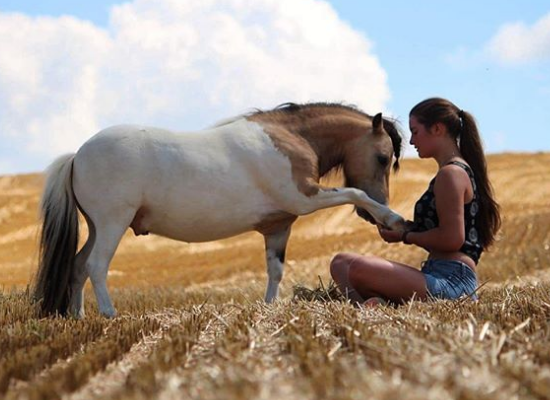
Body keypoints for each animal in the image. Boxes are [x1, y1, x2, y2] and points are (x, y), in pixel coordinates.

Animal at [32, 101, 408, 318]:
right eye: (382, 157)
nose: (375, 211)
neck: (291, 139)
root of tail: (77, 155)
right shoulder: (305, 198)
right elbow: (354, 192)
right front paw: (391, 218)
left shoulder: (278, 226)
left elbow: (275, 270)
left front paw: (269, 307)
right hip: (113, 223)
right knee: (95, 266)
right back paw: (109, 314)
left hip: (97, 228)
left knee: (77, 267)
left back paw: (79, 318)